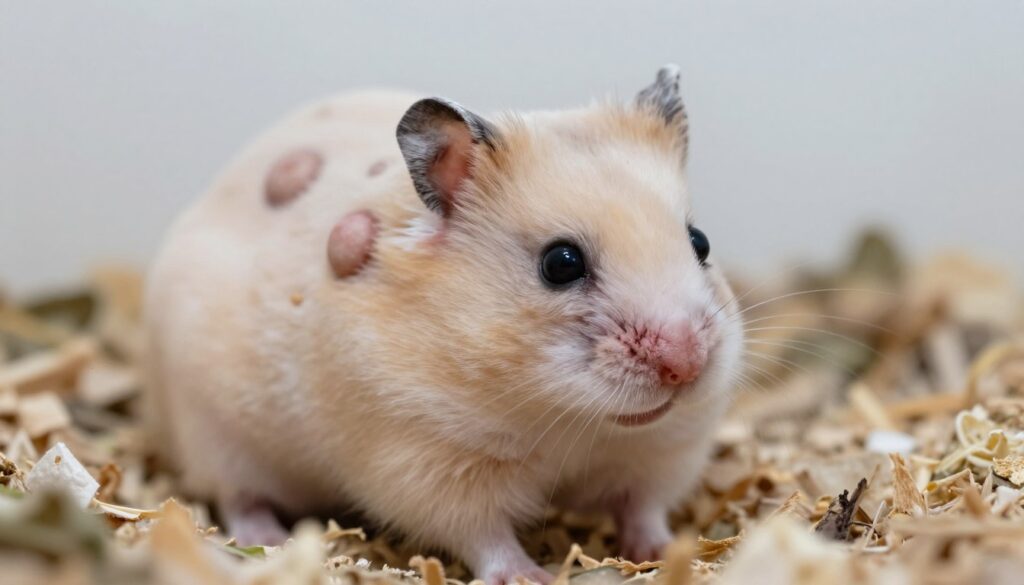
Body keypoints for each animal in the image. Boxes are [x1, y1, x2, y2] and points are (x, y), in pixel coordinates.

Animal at [144, 65, 743, 585]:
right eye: (561, 264)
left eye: (700, 243)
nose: (686, 365)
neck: (570, 421)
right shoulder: (426, 460)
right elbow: (485, 534)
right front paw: (528, 576)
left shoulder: (662, 453)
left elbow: (643, 508)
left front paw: (670, 553)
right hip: (216, 435)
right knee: (238, 496)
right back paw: (267, 542)